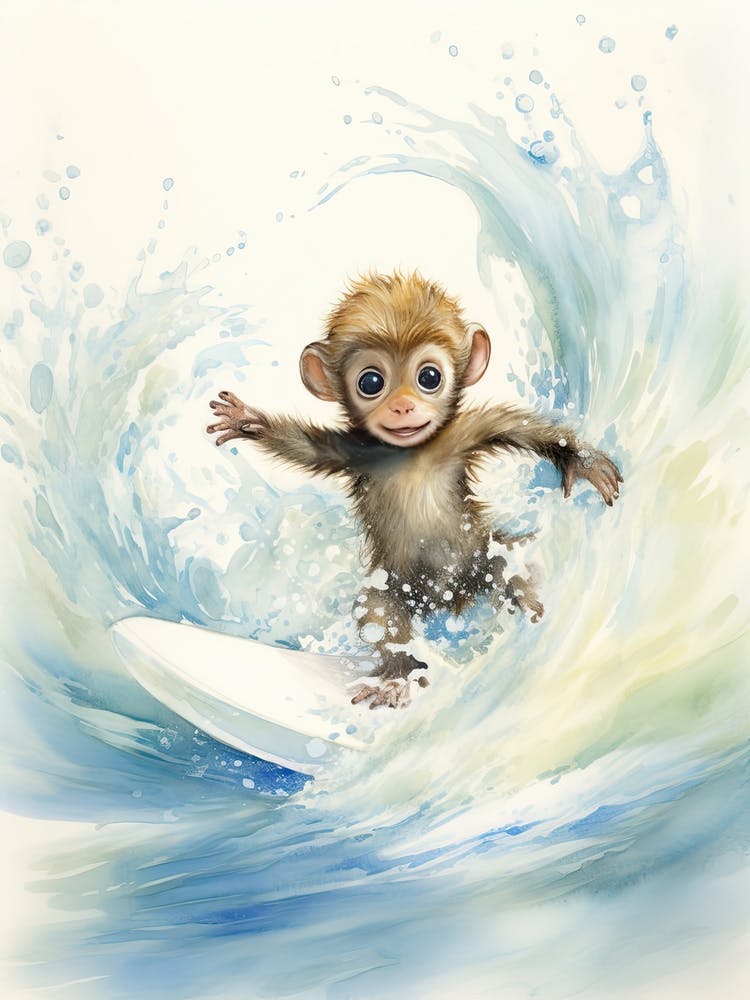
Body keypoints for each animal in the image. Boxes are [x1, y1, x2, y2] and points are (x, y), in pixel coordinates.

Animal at [207, 272, 622, 708]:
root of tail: (449, 599)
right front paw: (247, 421)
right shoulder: (356, 450)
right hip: (398, 585)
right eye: (371, 382)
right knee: (380, 610)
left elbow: (517, 428)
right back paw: (399, 677)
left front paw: (582, 461)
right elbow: (303, 446)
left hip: (479, 556)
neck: (412, 452)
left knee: (511, 569)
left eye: (429, 378)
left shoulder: (465, 432)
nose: (403, 407)